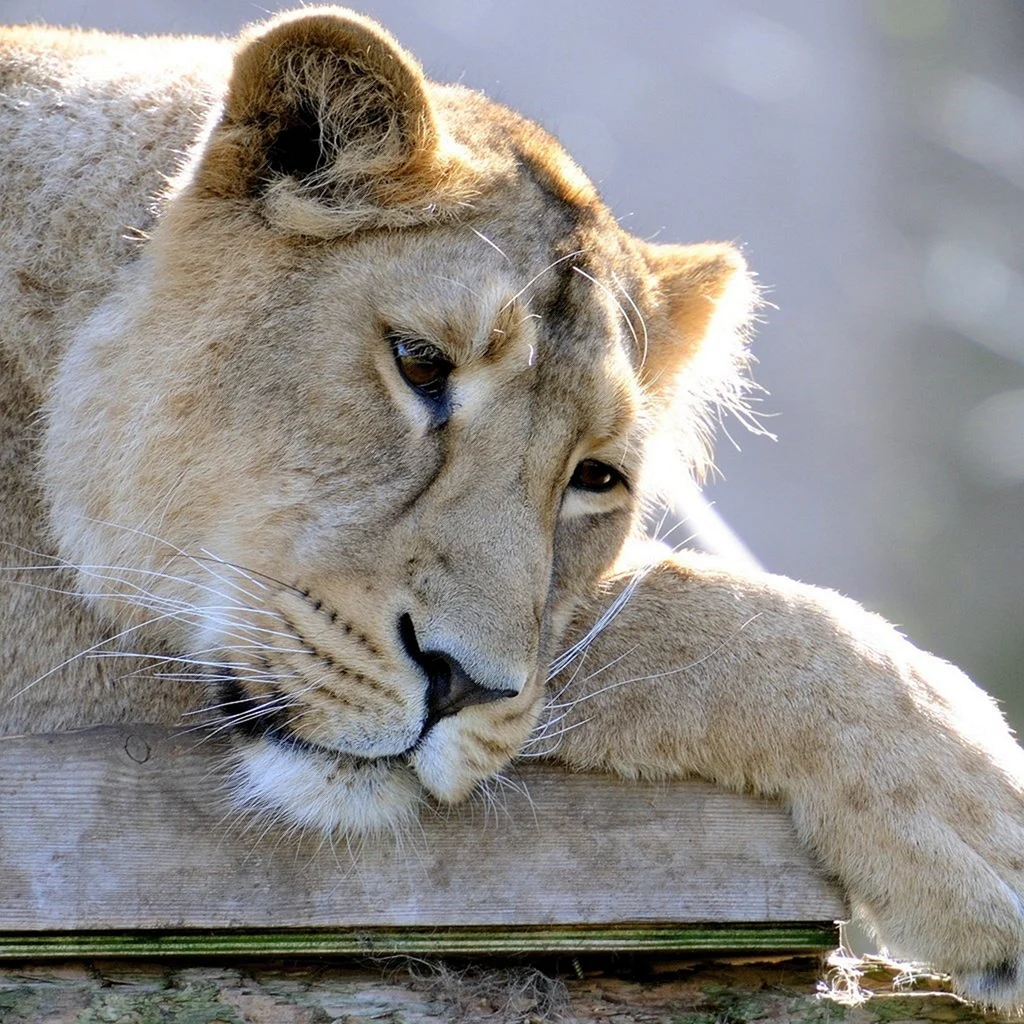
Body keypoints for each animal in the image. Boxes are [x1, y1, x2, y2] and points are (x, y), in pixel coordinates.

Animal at [3, 6, 1024, 1010]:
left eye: (596, 478)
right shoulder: (56, 678)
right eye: (419, 362)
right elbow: (667, 614)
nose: (460, 686)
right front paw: (984, 818)